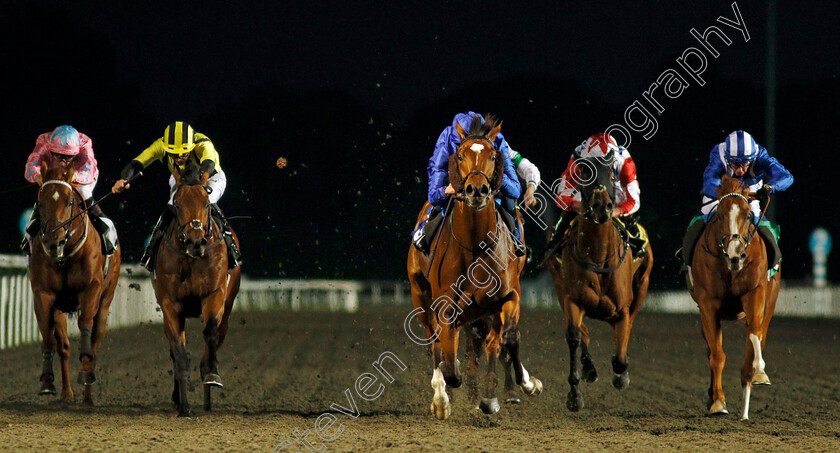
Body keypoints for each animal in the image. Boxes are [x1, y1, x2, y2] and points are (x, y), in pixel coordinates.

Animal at [29, 162, 123, 402]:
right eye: (40, 203)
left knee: (95, 342)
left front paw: (85, 373)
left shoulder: (91, 289)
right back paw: (66, 393)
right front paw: (47, 381)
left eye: (69, 202)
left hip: (105, 301)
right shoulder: (43, 294)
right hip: (60, 307)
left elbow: (85, 327)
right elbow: (48, 335)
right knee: (63, 345)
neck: (65, 256)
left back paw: (87, 396)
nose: (54, 242)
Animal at [154, 163, 241, 416]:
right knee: (175, 350)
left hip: (227, 309)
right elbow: (179, 352)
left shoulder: (214, 295)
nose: (195, 242)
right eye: (178, 204)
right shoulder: (170, 305)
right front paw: (183, 405)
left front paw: (211, 375)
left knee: (217, 334)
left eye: (206, 202)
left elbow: (210, 333)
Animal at [408, 115, 540, 418]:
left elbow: (506, 339)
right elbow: (448, 356)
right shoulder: (446, 304)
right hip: (420, 294)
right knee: (434, 342)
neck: (475, 245)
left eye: (493, 155)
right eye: (460, 156)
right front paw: (448, 390)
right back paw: (441, 398)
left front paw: (510, 390)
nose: (477, 190)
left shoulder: (508, 296)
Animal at [548, 152, 652, 410]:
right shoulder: (573, 299)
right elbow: (574, 336)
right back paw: (588, 368)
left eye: (612, 175)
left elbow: (620, 357)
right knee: (582, 331)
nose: (602, 207)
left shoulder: (622, 307)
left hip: (642, 286)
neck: (598, 254)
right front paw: (574, 394)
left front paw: (621, 375)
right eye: (584, 173)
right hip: (560, 287)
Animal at [688, 175, 780, 418]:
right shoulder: (708, 303)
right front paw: (718, 401)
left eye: (748, 215)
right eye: (719, 215)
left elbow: (754, 335)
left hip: (770, 301)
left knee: (758, 335)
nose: (735, 255)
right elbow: (717, 355)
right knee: (711, 351)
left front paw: (758, 373)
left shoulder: (754, 293)